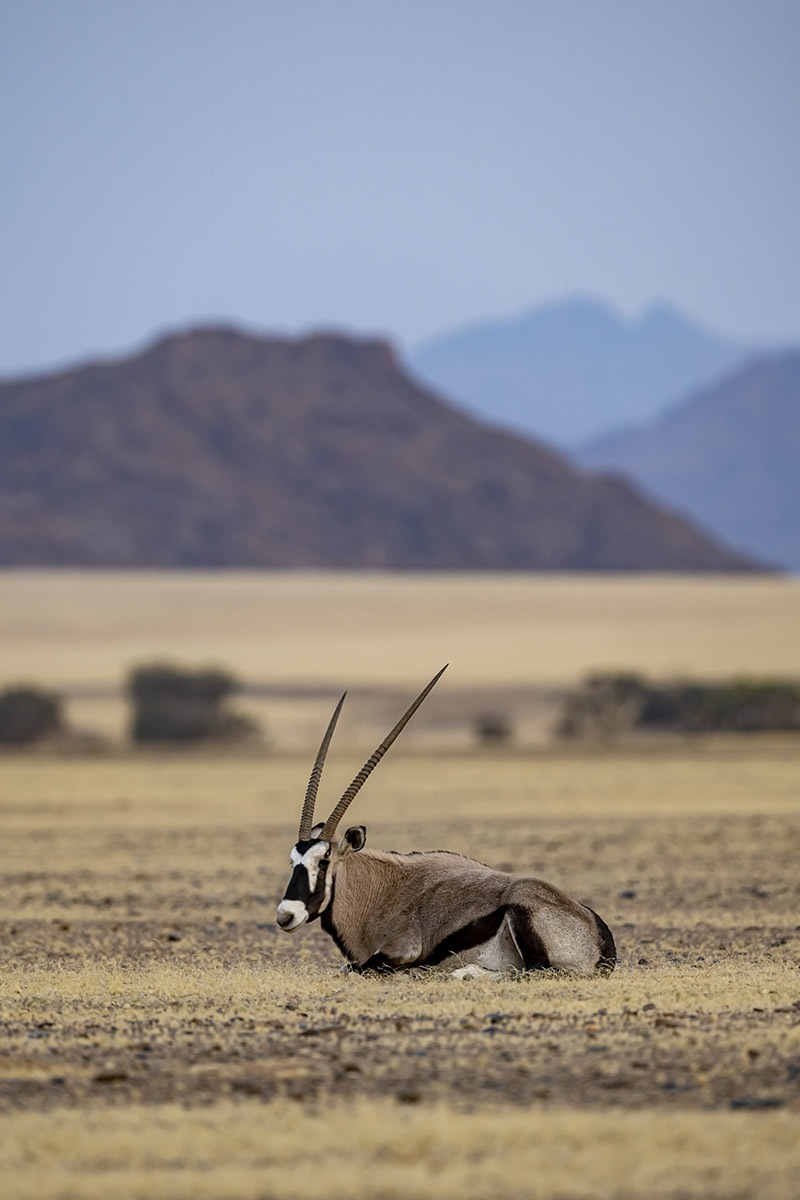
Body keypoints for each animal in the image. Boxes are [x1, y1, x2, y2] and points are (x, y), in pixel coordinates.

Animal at [276, 667, 616, 978]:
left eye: (323, 861)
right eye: (294, 860)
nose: (285, 916)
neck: (378, 892)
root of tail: (600, 940)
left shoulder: (400, 951)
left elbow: (358, 969)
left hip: (523, 915)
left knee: (531, 971)